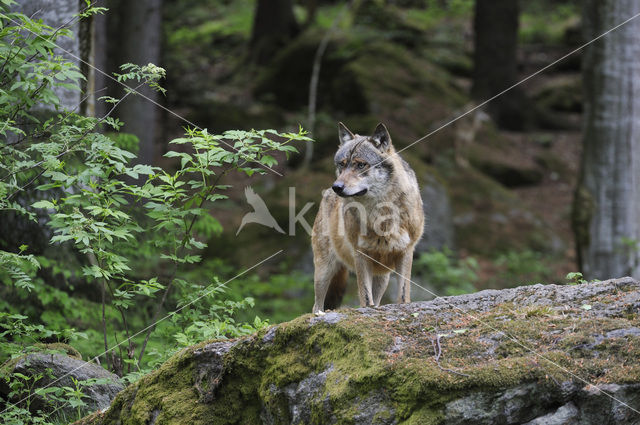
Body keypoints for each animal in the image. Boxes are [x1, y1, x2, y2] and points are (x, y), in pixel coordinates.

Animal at [312, 121, 424, 314]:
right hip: (324, 270)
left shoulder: (406, 251)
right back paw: (318, 314)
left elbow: (403, 294)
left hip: (383, 276)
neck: (382, 215)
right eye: (342, 165)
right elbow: (365, 296)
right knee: (316, 305)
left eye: (360, 165)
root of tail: (326, 193)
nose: (337, 187)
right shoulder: (361, 255)